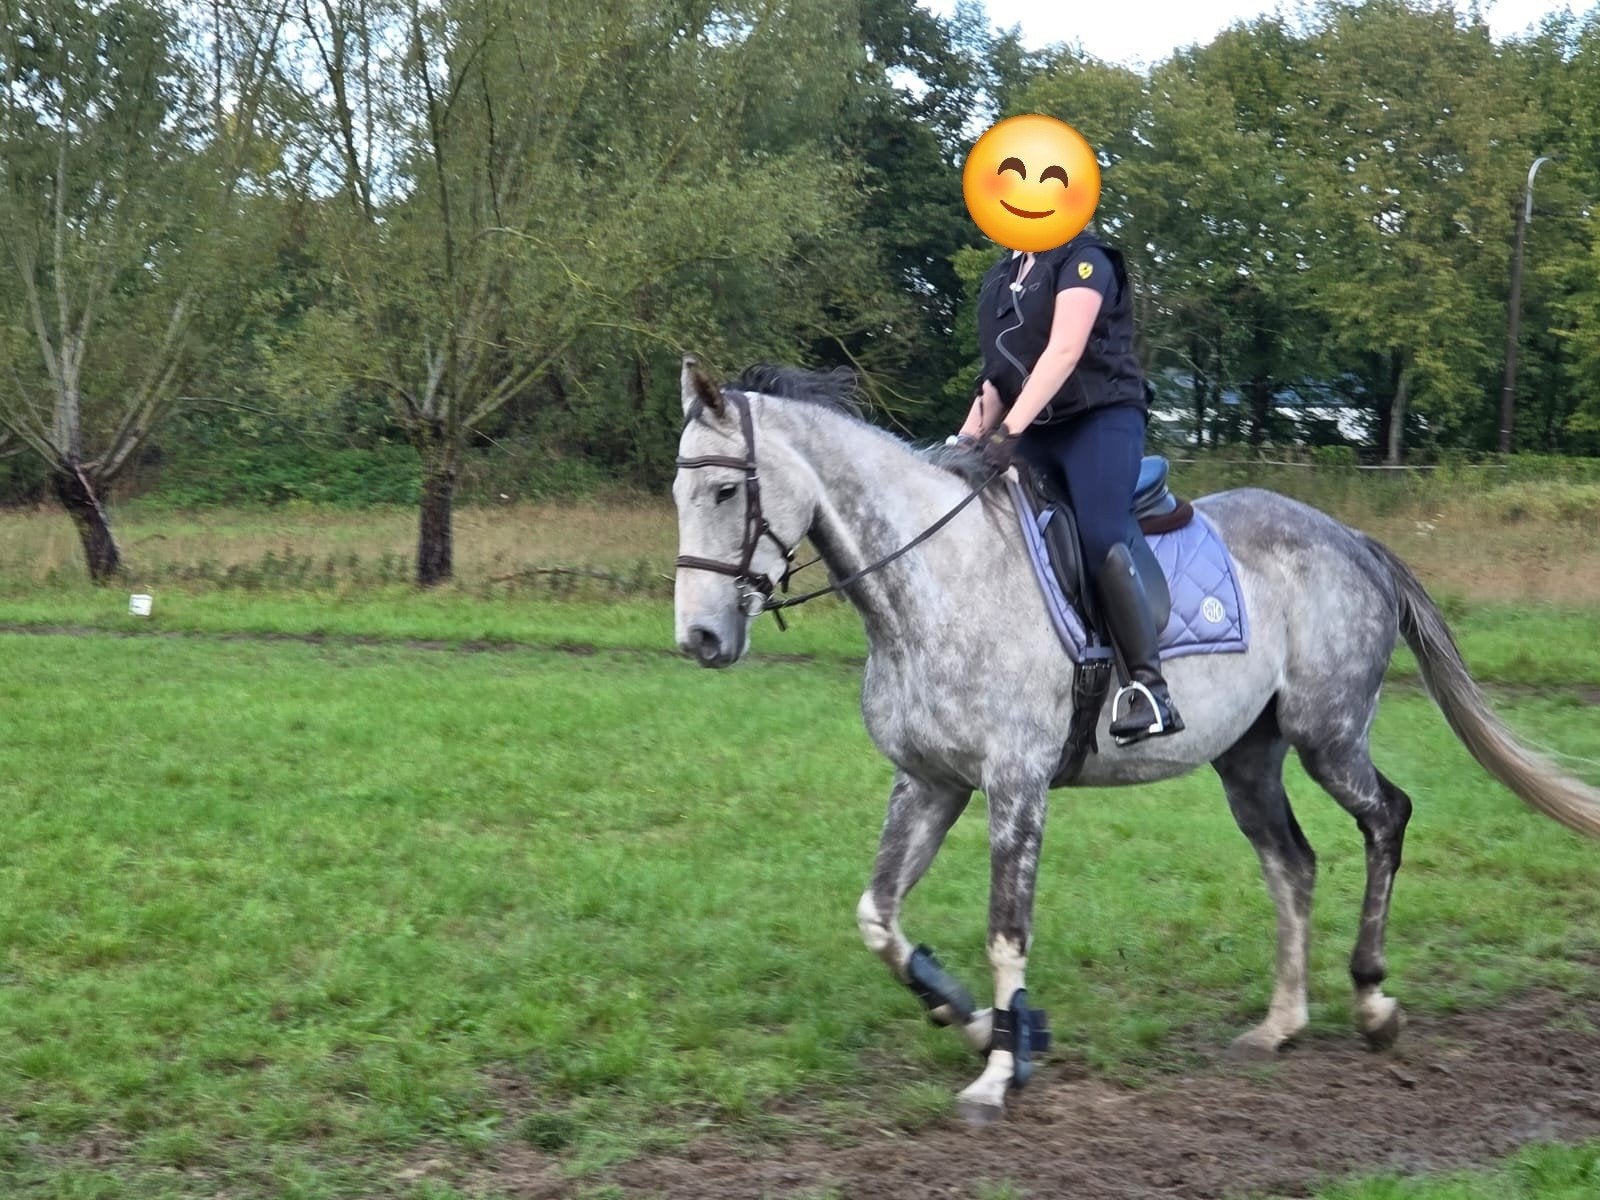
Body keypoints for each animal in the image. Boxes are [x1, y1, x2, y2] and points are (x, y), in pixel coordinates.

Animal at [670, 356, 1600, 1124]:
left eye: (724, 492)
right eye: (680, 495)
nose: (700, 640)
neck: (928, 586)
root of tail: (1350, 539)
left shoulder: (1015, 786)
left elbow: (1007, 929)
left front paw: (996, 1073)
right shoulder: (929, 783)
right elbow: (878, 916)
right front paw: (970, 1021)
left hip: (1328, 735)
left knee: (1386, 819)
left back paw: (1373, 1002)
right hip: (1248, 757)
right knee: (1292, 863)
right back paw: (1280, 1024)